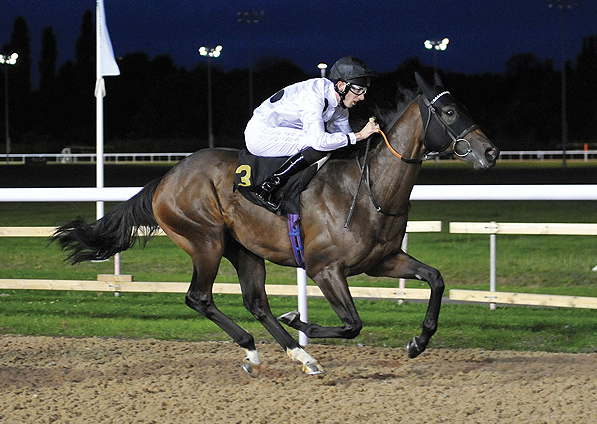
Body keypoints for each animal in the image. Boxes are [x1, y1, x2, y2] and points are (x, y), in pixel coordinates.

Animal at [52, 73, 498, 374]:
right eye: (449, 111)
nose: (490, 152)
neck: (368, 190)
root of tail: (166, 178)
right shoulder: (325, 269)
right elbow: (352, 324)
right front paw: (300, 320)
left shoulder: (382, 261)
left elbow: (436, 279)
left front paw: (417, 342)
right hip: (205, 242)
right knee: (199, 298)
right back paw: (256, 348)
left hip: (244, 249)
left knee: (256, 303)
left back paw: (299, 355)